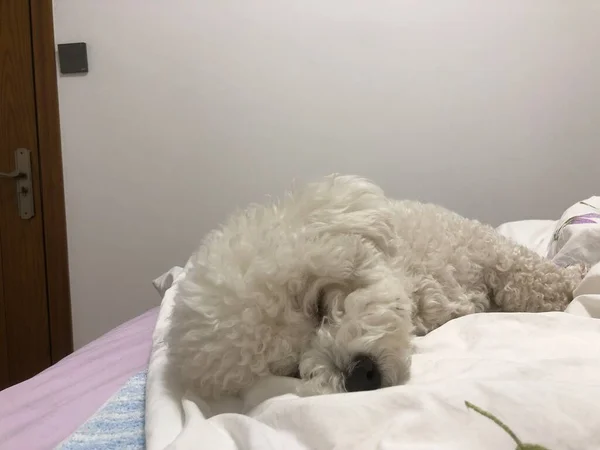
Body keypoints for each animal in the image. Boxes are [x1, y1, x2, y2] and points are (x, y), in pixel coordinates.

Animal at [166, 174, 584, 400]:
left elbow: (522, 270)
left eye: (319, 304)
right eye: (288, 368)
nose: (359, 376)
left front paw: (572, 280)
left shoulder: (479, 245)